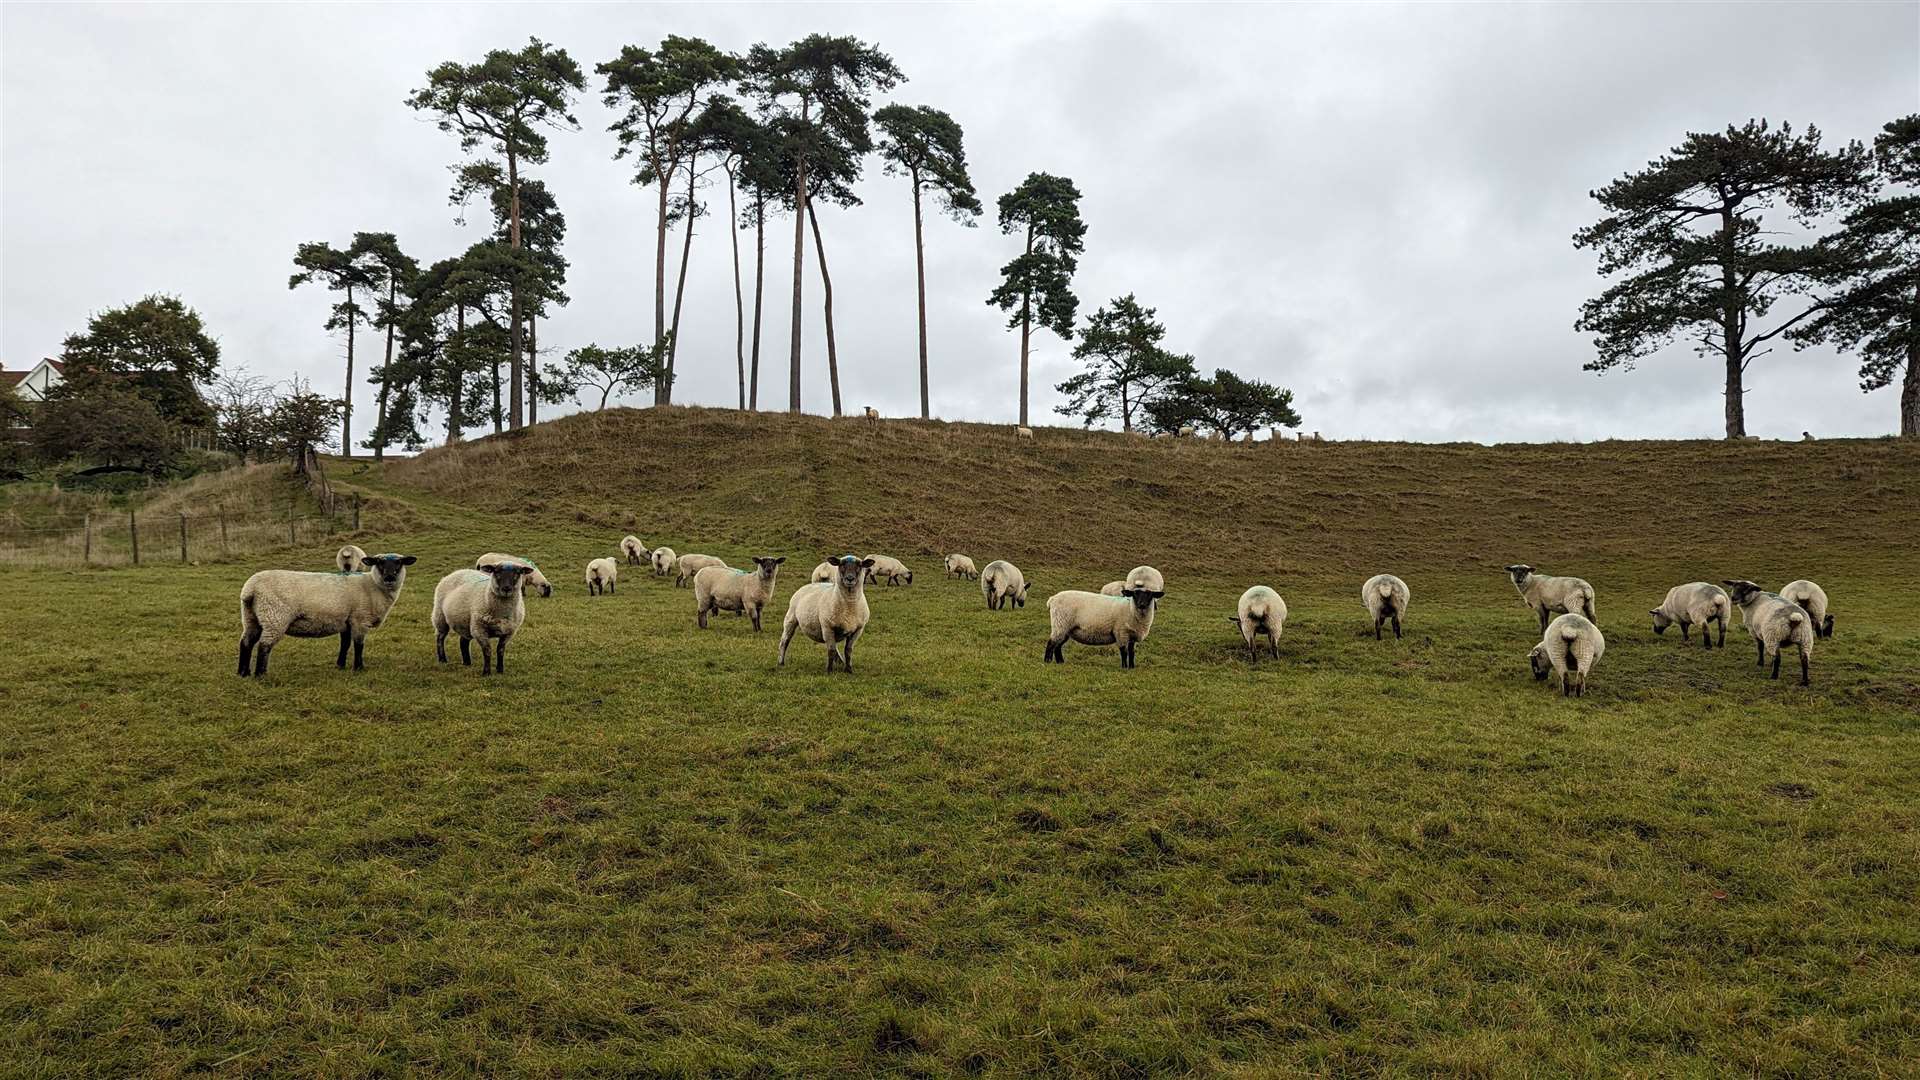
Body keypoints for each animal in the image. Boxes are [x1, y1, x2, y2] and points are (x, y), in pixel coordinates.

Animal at [237, 549, 416, 676]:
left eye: (399, 563)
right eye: (379, 562)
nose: (389, 577)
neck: (373, 585)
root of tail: (250, 589)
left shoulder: (346, 620)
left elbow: (345, 644)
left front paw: (340, 665)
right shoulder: (360, 619)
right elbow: (359, 645)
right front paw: (358, 668)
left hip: (251, 616)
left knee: (246, 642)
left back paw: (243, 673)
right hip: (275, 616)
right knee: (264, 645)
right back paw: (261, 674)